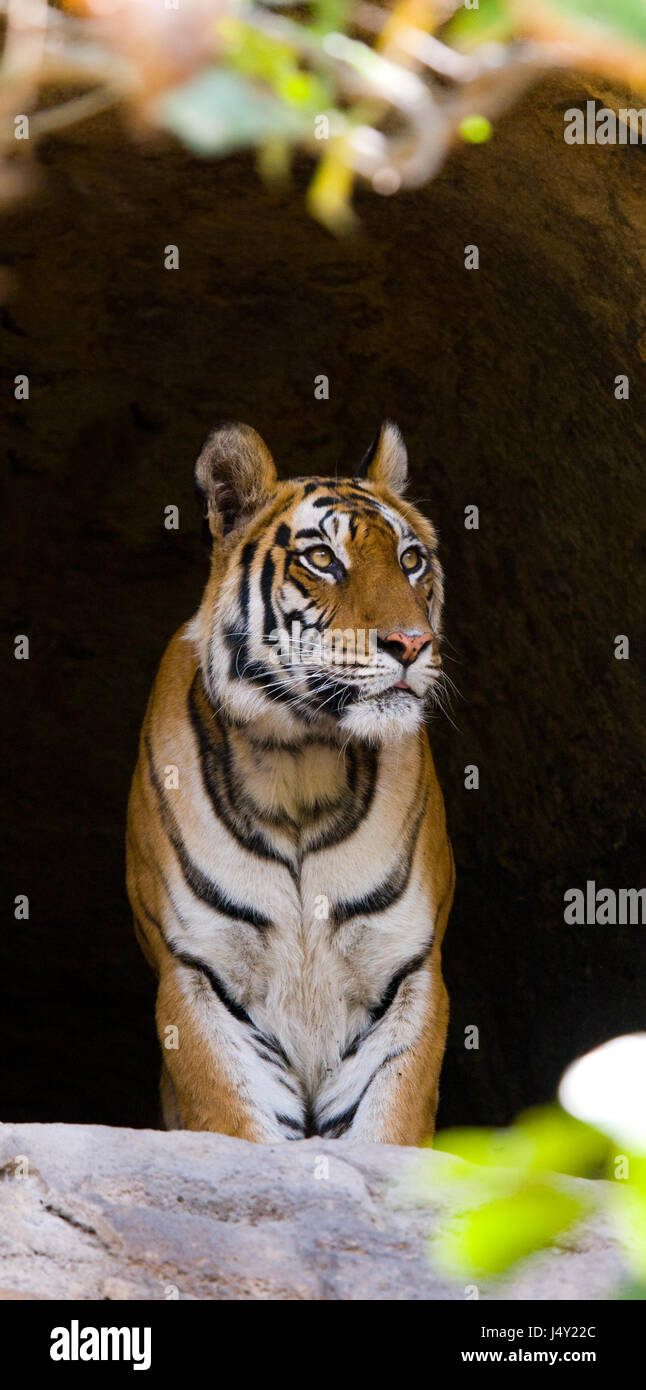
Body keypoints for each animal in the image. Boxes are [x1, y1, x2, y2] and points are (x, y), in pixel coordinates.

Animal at [125, 417, 452, 1145]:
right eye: (324, 560)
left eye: (411, 561)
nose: (412, 644)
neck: (304, 761)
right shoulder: (199, 976)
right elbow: (235, 1126)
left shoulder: (407, 973)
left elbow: (387, 1130)